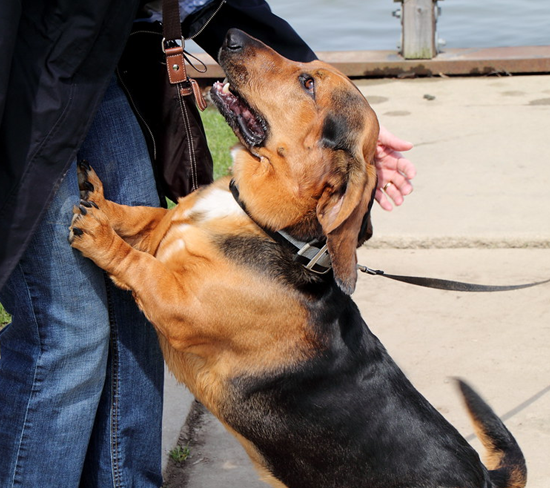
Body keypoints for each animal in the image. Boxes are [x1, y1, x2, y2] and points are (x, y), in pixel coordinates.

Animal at [71, 30, 528, 488]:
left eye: (308, 84)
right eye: (307, 69)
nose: (232, 34)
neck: (273, 229)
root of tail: (485, 476)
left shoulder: (178, 305)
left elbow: (139, 264)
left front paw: (100, 235)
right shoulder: (163, 228)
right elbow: (144, 215)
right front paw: (99, 199)